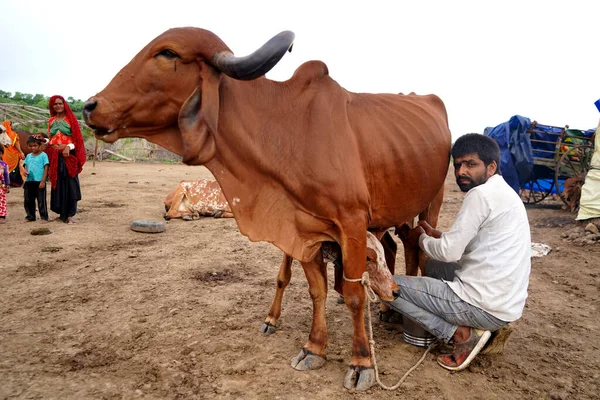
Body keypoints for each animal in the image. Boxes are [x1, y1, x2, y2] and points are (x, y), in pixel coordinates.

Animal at [84, 28, 450, 390]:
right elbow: (317, 290)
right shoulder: (305, 230)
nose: (90, 105)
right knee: (395, 246)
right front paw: (314, 347)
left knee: (418, 248)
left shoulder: (351, 223)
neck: (288, 133)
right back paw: (389, 307)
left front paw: (361, 363)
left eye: (168, 53)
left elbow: (354, 293)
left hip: (431, 202)